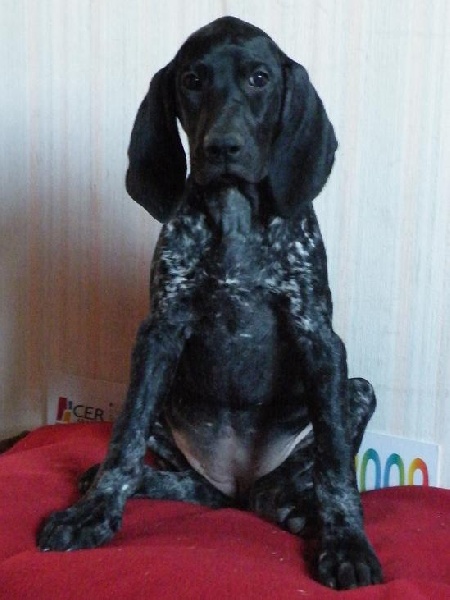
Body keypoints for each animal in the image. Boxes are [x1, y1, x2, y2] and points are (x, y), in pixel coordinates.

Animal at [38, 16, 382, 590]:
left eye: (260, 78)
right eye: (193, 81)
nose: (223, 147)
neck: (235, 215)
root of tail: (237, 484)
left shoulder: (319, 339)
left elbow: (336, 467)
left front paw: (346, 541)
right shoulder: (158, 334)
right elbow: (123, 444)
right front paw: (94, 514)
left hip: (357, 391)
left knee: (279, 490)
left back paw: (297, 508)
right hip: (168, 406)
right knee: (195, 489)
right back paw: (137, 483)